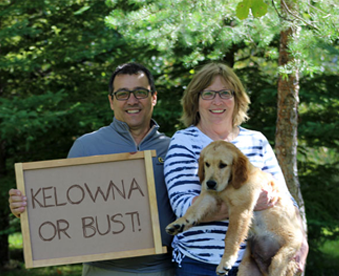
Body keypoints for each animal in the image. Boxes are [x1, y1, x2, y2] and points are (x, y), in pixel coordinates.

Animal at [166, 141, 304, 274]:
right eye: (207, 164)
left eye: (223, 165)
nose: (210, 184)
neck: (229, 185)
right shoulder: (209, 196)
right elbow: (193, 210)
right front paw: (179, 224)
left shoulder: (240, 209)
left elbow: (231, 237)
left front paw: (226, 261)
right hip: (246, 269)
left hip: (284, 254)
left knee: (278, 262)